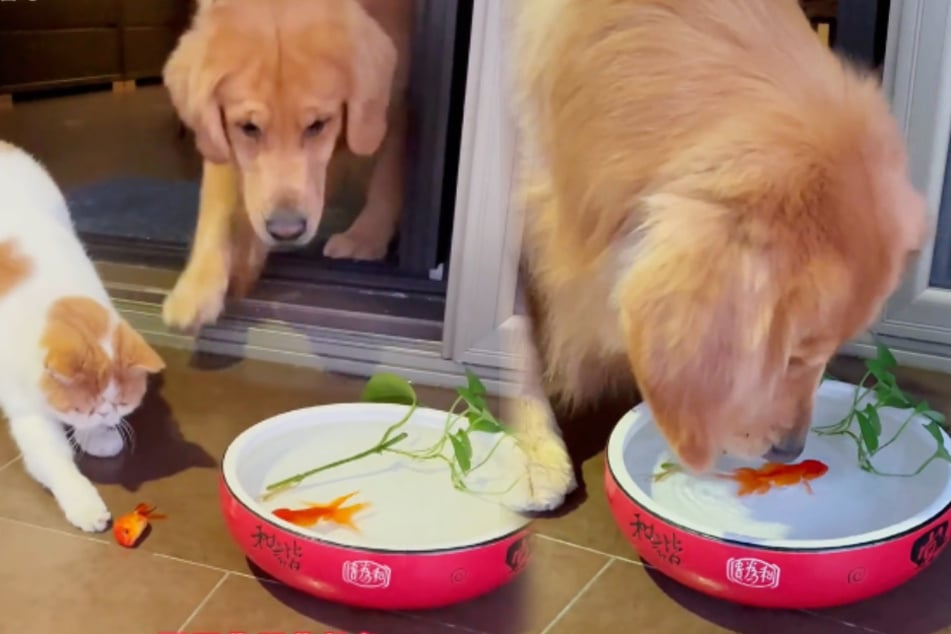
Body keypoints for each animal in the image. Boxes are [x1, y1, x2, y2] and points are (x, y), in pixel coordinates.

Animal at [0, 141, 165, 532]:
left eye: (119, 404)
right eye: (83, 406)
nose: (105, 416)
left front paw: (99, 437)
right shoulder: (28, 410)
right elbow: (54, 460)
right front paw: (84, 504)